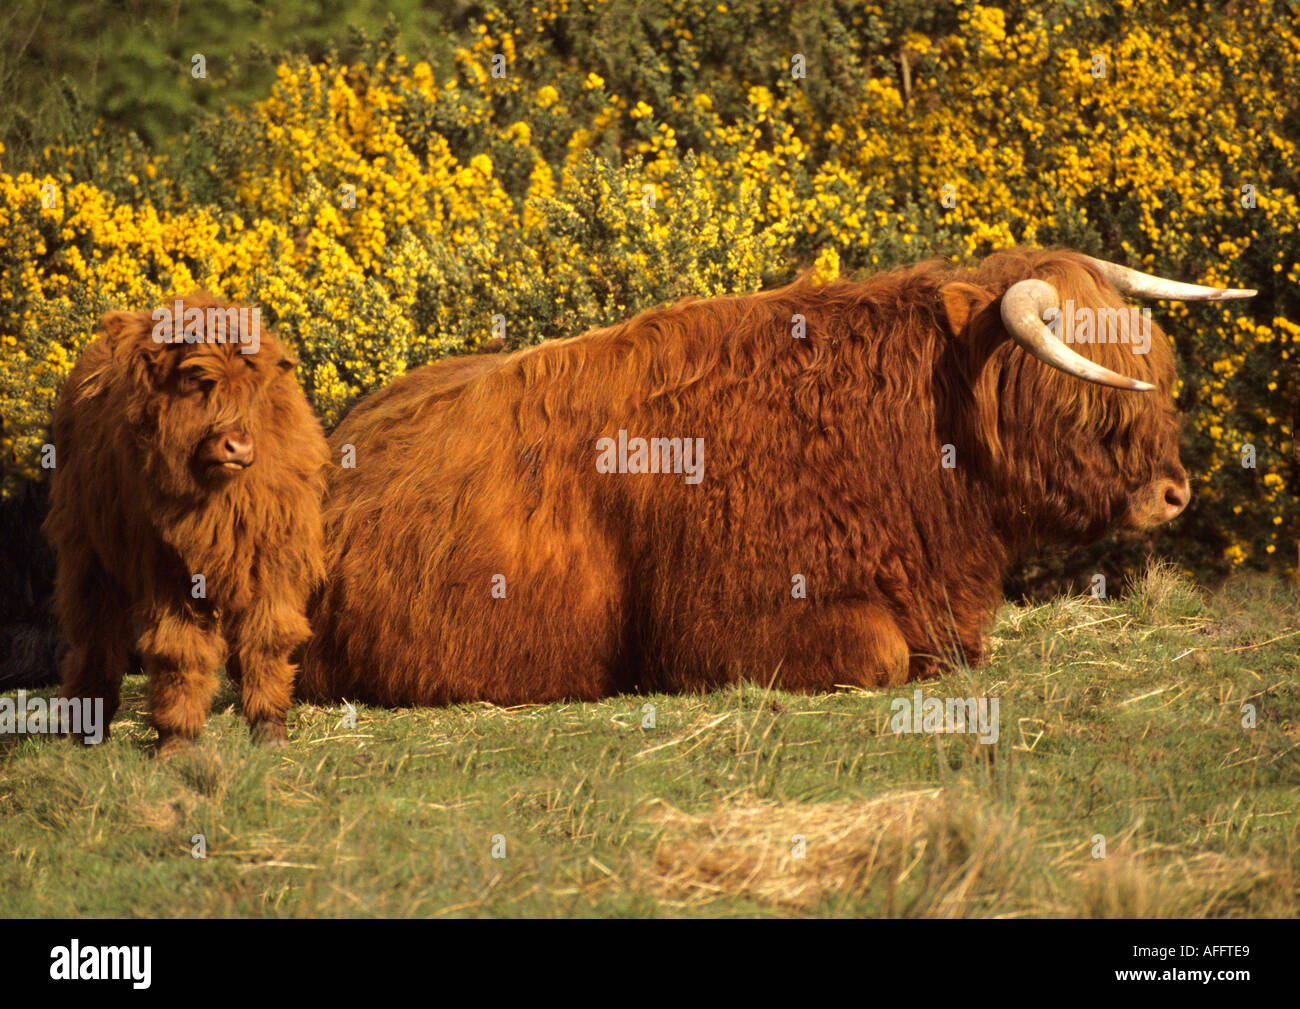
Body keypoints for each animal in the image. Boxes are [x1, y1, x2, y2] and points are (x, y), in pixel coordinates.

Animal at [44, 295, 329, 754]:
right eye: (196, 381)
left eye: (253, 387)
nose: (237, 445)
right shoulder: (167, 574)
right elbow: (178, 651)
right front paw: (177, 743)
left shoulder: (274, 566)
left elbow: (268, 639)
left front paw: (271, 731)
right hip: (85, 556)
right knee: (94, 637)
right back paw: (87, 729)